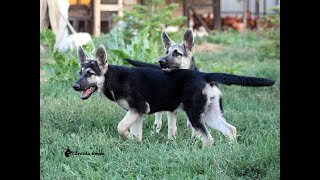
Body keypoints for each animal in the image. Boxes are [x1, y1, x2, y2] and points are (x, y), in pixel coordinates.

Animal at [73, 44, 276, 146]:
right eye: (79, 72)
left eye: (90, 74)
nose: (74, 86)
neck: (113, 77)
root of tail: (204, 75)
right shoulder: (137, 113)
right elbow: (135, 132)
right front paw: (136, 143)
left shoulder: (139, 108)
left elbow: (121, 127)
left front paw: (129, 139)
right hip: (210, 114)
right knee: (230, 129)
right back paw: (231, 149)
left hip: (194, 114)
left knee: (208, 138)